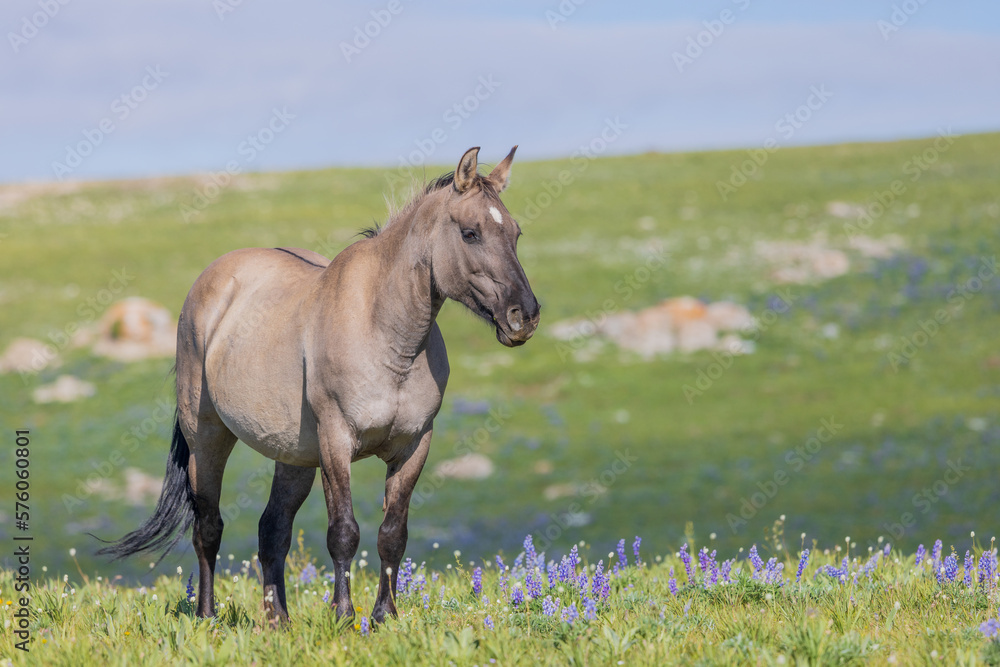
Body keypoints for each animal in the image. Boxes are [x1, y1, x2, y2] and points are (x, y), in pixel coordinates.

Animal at [97, 146, 540, 628]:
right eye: (470, 233)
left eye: (516, 232)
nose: (524, 315)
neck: (387, 335)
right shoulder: (336, 441)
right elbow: (343, 532)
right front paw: (344, 615)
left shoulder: (414, 446)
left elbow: (392, 534)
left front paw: (384, 615)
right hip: (208, 438)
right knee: (208, 527)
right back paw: (207, 616)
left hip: (292, 456)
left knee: (272, 530)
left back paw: (278, 621)